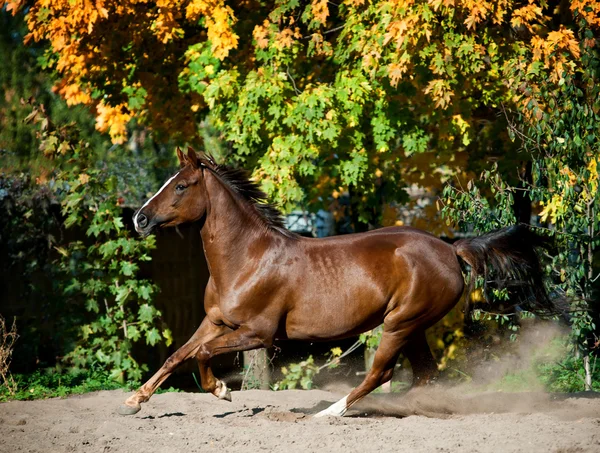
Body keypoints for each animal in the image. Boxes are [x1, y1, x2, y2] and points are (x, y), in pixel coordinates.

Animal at [117, 148, 556, 416]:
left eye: (181, 185)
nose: (139, 218)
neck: (247, 259)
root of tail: (451, 249)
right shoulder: (215, 321)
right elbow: (178, 355)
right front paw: (134, 400)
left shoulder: (259, 334)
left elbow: (203, 355)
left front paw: (222, 391)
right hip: (412, 326)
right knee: (425, 374)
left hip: (399, 324)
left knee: (380, 373)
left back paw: (330, 412)